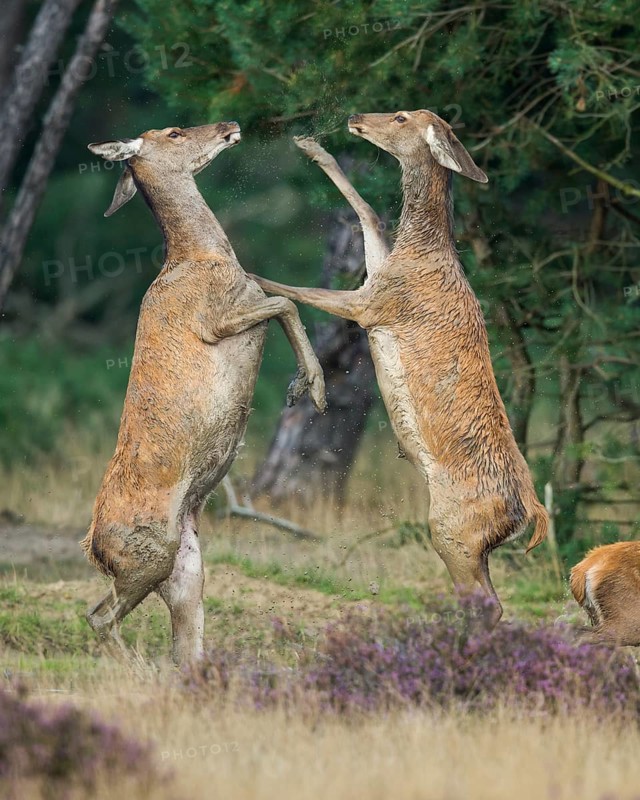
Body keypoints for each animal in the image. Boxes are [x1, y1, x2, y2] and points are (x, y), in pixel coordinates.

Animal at [81, 122, 326, 665]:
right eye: (174, 132)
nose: (229, 126)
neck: (207, 256)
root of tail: (94, 547)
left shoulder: (245, 296)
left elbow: (281, 298)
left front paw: (302, 386)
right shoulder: (214, 320)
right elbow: (285, 304)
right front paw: (314, 388)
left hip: (185, 568)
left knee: (181, 641)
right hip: (148, 552)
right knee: (99, 617)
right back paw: (137, 669)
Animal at [251, 111, 548, 625]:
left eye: (401, 116)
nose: (354, 117)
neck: (419, 252)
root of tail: (530, 510)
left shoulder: (376, 304)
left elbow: (300, 290)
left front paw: (247, 272)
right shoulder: (377, 276)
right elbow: (370, 214)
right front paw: (311, 146)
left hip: (452, 528)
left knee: (486, 603)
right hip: (472, 542)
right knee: (490, 600)